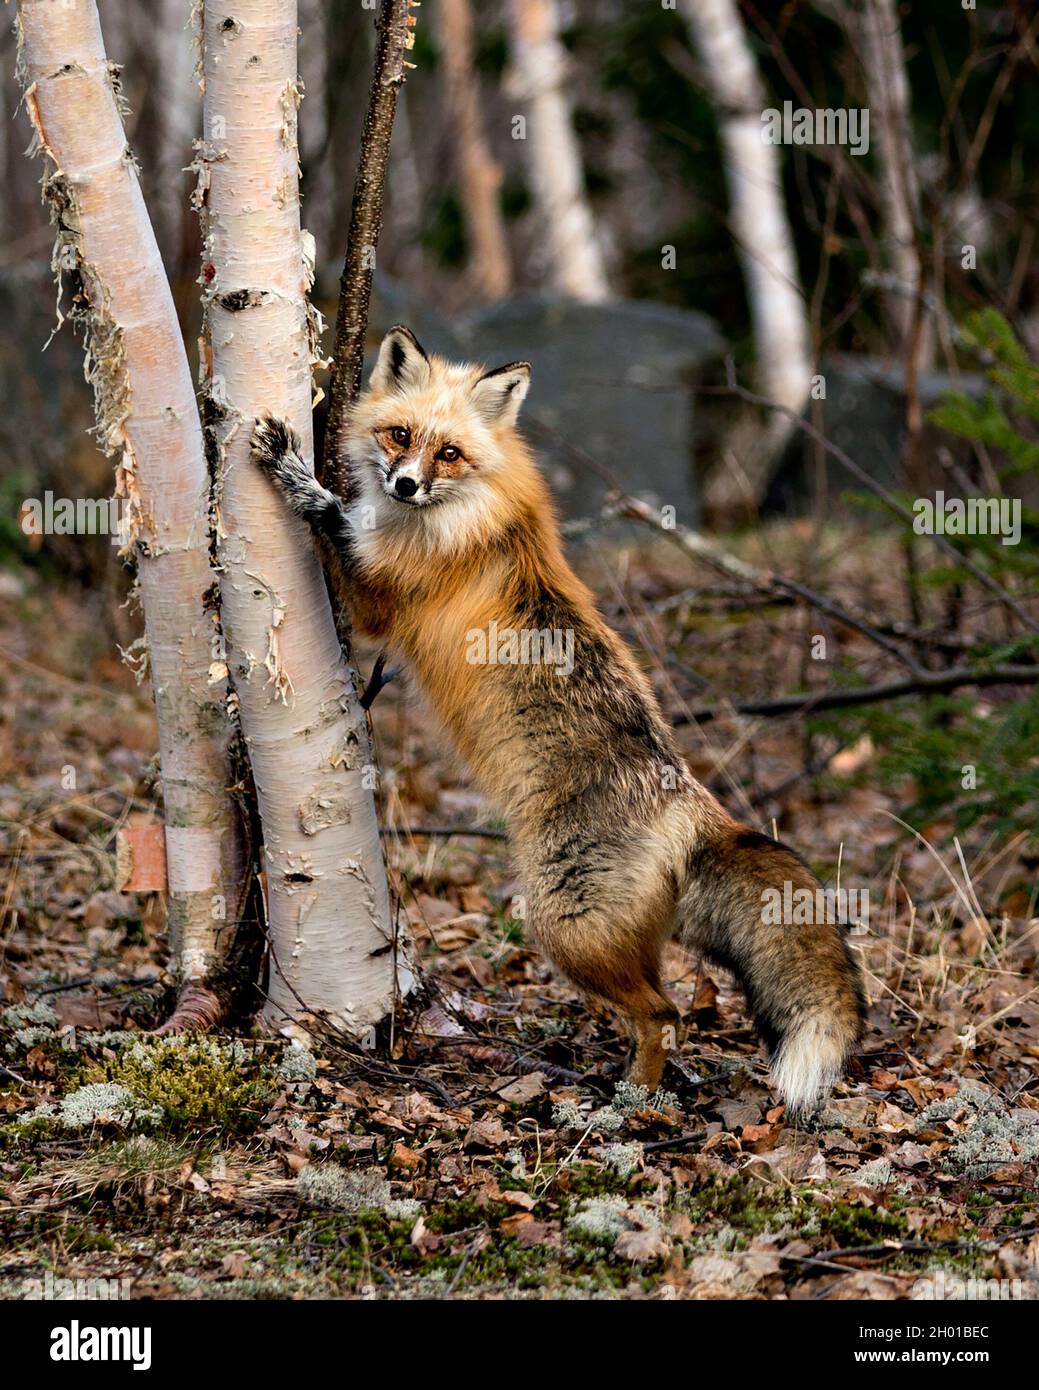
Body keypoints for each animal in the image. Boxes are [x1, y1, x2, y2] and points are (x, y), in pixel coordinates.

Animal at [250, 325, 862, 1117]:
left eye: (450, 453)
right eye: (401, 435)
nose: (403, 484)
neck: (465, 513)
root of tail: (691, 803)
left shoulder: (379, 600)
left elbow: (330, 519)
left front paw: (292, 469)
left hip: (560, 928)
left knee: (662, 1013)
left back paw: (626, 1105)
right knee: (664, 1009)